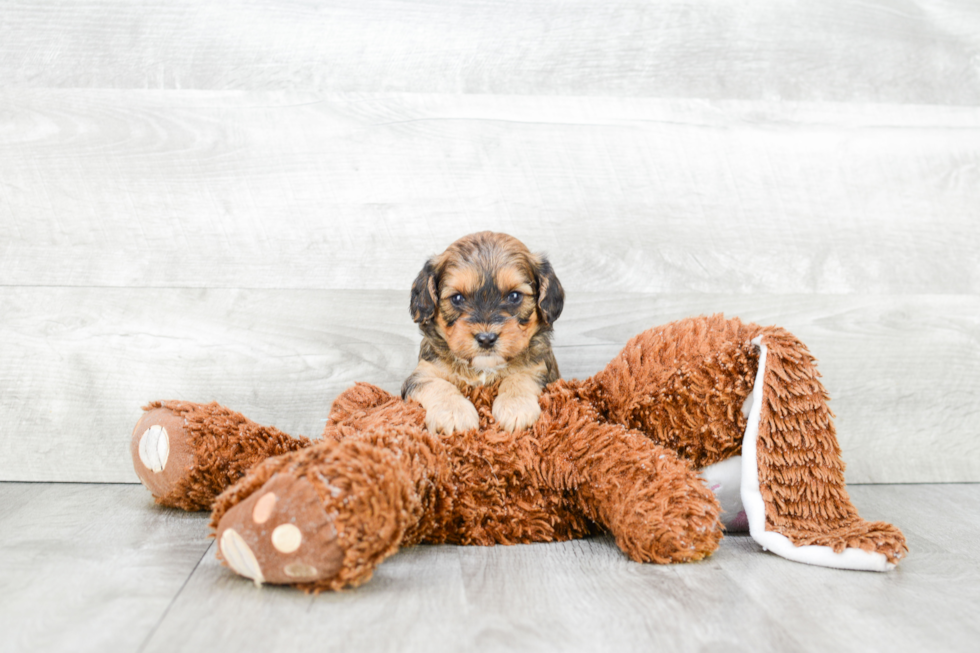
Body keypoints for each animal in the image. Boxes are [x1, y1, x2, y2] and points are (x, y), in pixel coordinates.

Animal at [400, 232, 568, 436]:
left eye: (514, 296)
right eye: (457, 298)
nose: (486, 339)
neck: (483, 368)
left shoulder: (540, 370)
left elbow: (519, 377)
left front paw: (516, 407)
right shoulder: (421, 373)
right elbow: (437, 385)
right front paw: (454, 413)